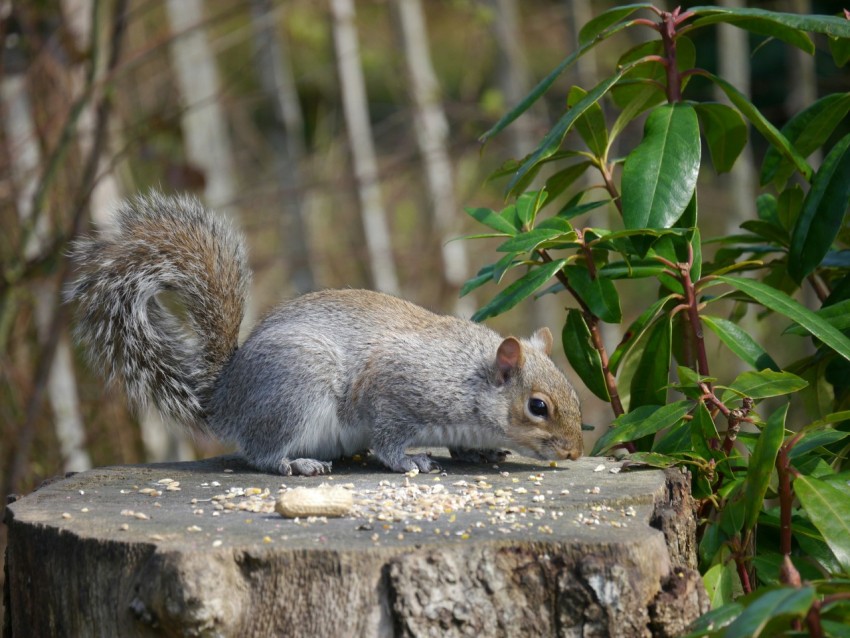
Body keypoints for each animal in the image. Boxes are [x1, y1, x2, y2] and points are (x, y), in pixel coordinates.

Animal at [66, 191, 583, 476]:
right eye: (538, 407)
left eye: (575, 396)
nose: (576, 451)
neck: (468, 376)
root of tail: (224, 399)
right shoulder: (397, 391)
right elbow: (388, 437)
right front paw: (411, 461)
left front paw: (479, 452)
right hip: (296, 388)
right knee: (261, 453)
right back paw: (295, 463)